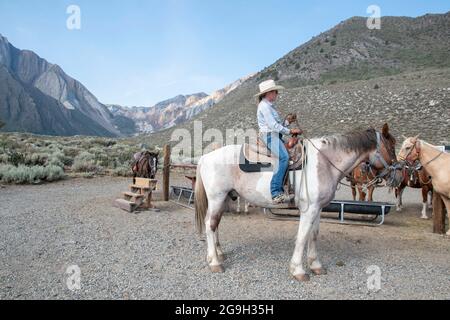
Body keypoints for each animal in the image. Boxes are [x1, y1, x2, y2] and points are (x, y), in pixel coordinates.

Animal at [193, 126, 400, 282]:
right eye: (391, 148)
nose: (398, 175)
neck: (325, 162)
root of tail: (205, 157)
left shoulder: (318, 208)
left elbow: (313, 236)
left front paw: (316, 266)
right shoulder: (309, 209)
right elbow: (301, 237)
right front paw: (298, 270)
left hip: (224, 199)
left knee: (215, 224)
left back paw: (218, 254)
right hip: (217, 198)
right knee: (210, 225)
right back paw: (215, 263)